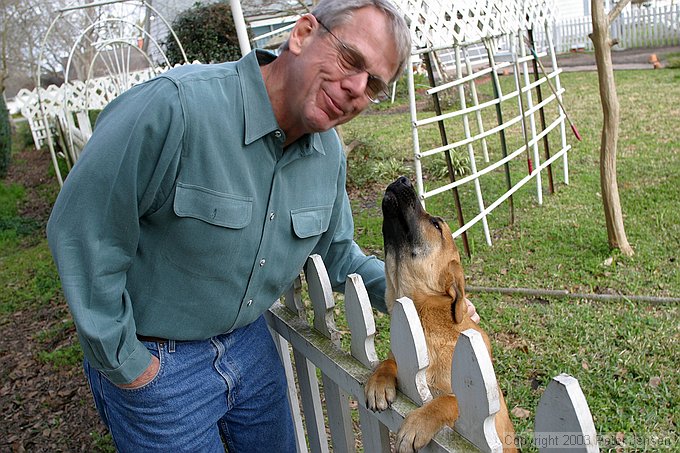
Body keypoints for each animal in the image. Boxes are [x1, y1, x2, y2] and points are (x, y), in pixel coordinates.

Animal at [366, 177, 516, 452]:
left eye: (436, 224)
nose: (403, 179)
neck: (425, 318)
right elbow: (389, 361)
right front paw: (379, 380)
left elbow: (448, 400)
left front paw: (418, 423)